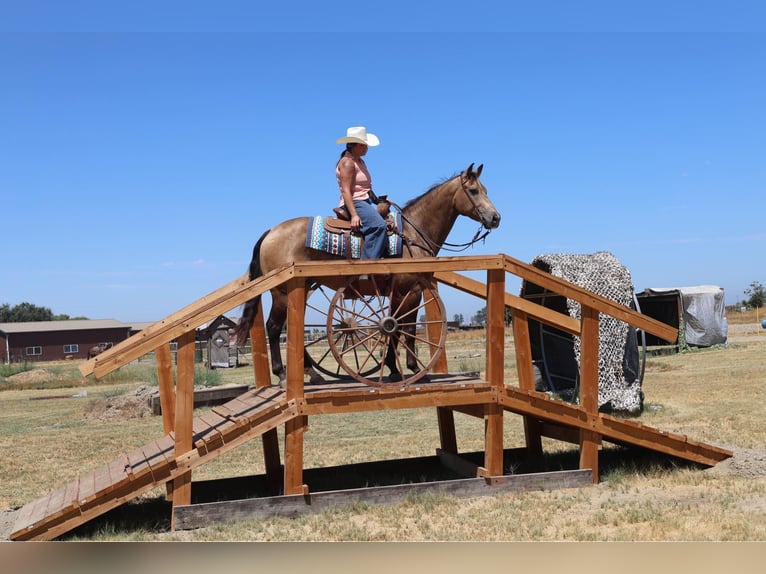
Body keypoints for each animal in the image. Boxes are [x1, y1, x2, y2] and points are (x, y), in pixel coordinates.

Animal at [237, 163, 500, 388]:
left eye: (486, 190)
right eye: (474, 190)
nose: (496, 218)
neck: (412, 233)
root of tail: (271, 232)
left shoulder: (405, 292)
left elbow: (402, 328)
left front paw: (397, 369)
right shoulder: (409, 291)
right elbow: (401, 328)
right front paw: (408, 370)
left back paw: (313, 373)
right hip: (280, 292)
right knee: (273, 328)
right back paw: (283, 375)